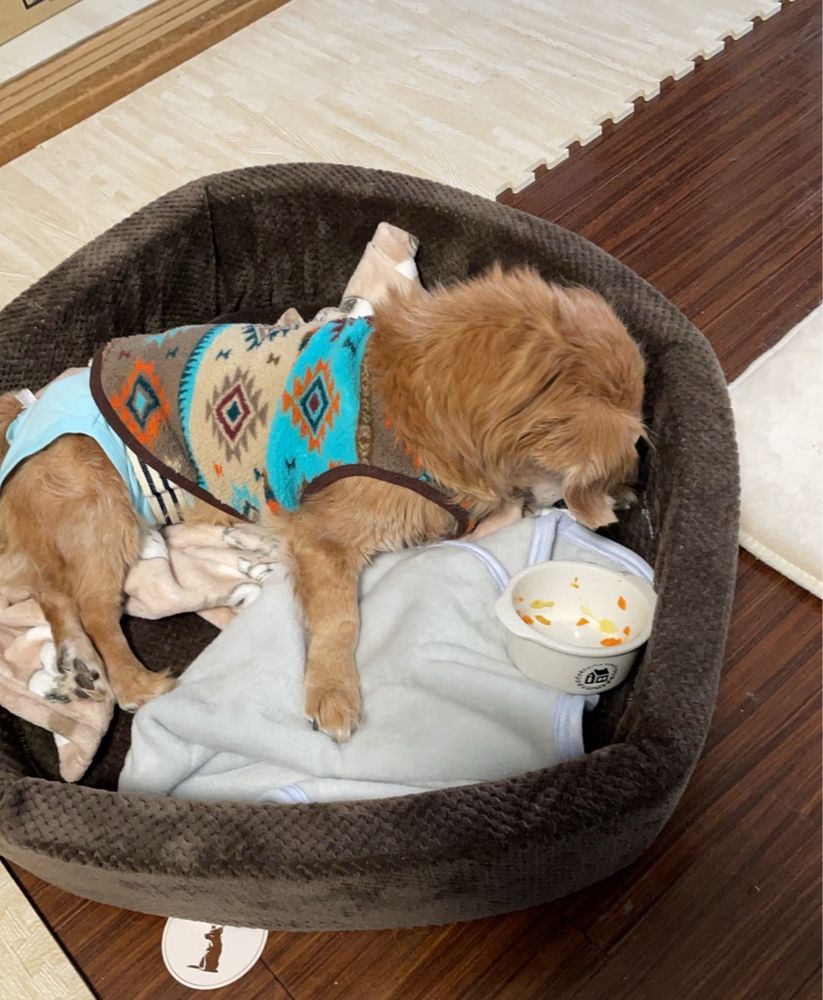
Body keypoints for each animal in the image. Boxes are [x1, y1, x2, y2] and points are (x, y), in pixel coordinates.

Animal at [0, 266, 645, 741]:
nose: (633, 492)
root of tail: (18, 423)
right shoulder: (328, 538)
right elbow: (340, 618)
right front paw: (333, 690)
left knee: (53, 594)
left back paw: (80, 667)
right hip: (101, 507)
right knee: (92, 606)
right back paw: (133, 682)